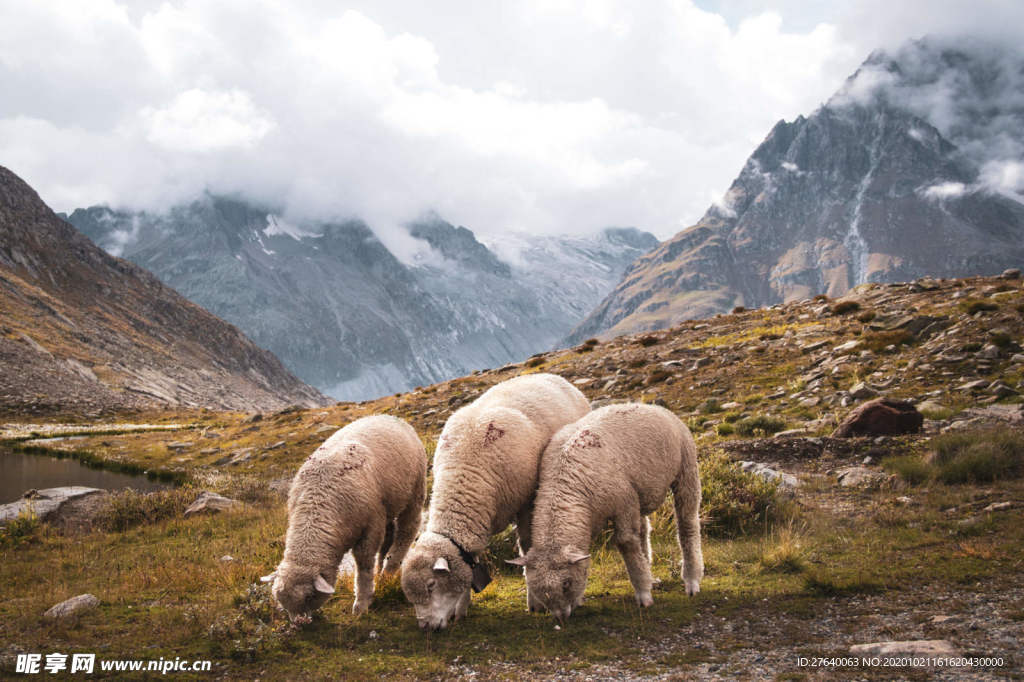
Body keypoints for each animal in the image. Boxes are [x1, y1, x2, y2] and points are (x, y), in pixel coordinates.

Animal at [264, 411, 428, 618]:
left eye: (309, 597)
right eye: (283, 603)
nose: (299, 623)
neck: (317, 504)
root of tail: (388, 415)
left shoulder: (371, 525)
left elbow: (364, 566)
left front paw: (361, 604)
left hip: (415, 489)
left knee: (408, 528)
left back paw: (390, 569)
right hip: (388, 504)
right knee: (390, 535)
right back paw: (382, 571)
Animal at [401, 374, 593, 630]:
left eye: (431, 586)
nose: (426, 627)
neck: (464, 477)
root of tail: (551, 375)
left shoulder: (526, 503)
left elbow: (526, 547)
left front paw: (536, 603)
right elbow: (471, 563)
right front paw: (460, 609)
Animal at [509, 403, 704, 622]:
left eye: (566, 584)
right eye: (538, 589)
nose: (561, 618)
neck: (564, 479)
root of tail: (649, 405)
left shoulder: (624, 503)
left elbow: (626, 543)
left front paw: (643, 595)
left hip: (686, 469)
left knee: (687, 524)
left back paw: (691, 580)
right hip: (640, 493)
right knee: (643, 531)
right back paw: (650, 573)